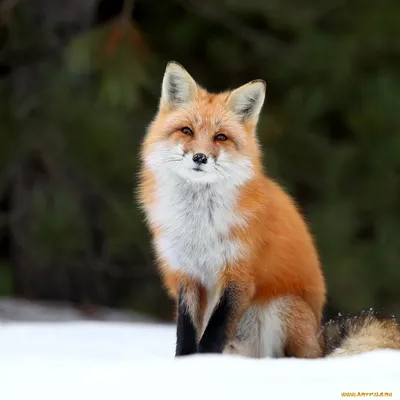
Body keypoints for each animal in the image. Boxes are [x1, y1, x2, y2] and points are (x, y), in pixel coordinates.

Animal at [139, 61, 326, 358]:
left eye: (221, 137)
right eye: (187, 131)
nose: (200, 157)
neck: (199, 228)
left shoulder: (238, 275)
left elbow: (214, 333)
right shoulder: (187, 274)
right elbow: (187, 333)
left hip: (281, 307)